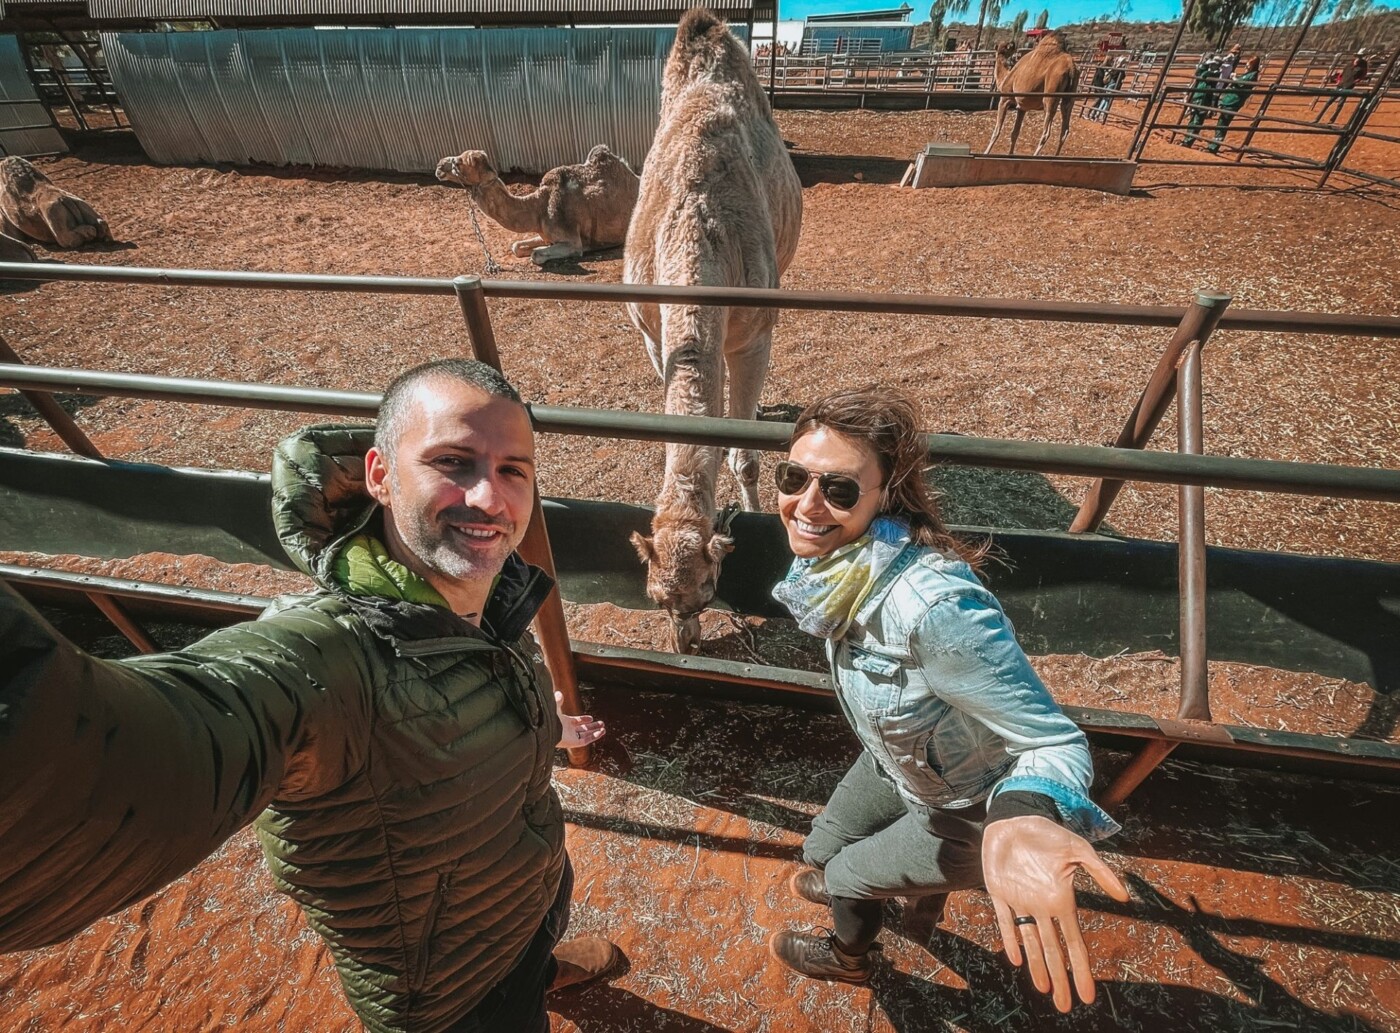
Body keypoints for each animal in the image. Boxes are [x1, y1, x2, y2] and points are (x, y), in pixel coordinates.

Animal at [431, 145, 641, 265]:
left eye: (459, 163)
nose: (439, 166)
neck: (539, 206)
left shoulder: (572, 242)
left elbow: (536, 255)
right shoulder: (544, 232)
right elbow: (516, 246)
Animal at [630, 6, 806, 652]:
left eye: (709, 589)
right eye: (655, 595)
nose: (687, 642)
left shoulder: (754, 334)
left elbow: (748, 455)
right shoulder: (654, 335)